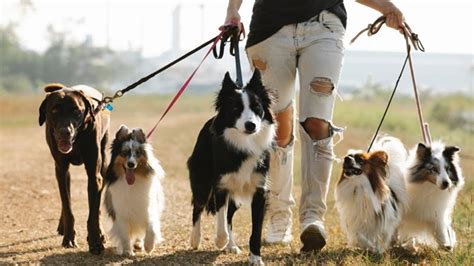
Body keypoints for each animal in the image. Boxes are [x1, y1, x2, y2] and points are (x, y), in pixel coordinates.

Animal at [38, 83, 110, 254]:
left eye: (77, 111)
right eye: (54, 111)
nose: (65, 132)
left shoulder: (94, 175)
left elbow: (93, 214)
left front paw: (96, 241)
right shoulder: (61, 169)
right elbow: (67, 207)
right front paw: (69, 238)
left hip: (104, 163)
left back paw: (101, 232)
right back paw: (62, 225)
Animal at [103, 125, 165, 256]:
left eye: (137, 153)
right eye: (124, 153)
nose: (131, 164)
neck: (132, 184)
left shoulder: (148, 209)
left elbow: (151, 228)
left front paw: (149, 246)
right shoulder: (121, 214)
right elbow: (125, 236)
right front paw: (127, 251)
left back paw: (139, 244)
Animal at [186, 69, 274, 264]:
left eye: (257, 107)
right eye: (235, 109)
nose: (251, 125)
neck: (244, 144)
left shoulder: (260, 190)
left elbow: (255, 230)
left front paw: (255, 258)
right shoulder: (221, 185)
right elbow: (220, 220)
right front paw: (220, 240)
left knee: (229, 215)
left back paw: (231, 245)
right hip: (202, 179)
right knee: (198, 207)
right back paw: (196, 239)